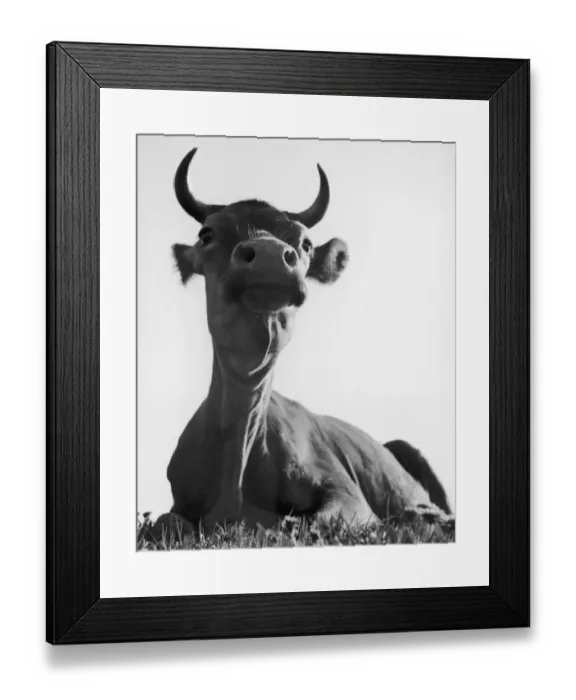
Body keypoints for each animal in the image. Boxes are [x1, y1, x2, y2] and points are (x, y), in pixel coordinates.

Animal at [165, 148, 453, 533]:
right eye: (206, 234)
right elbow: (166, 522)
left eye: (305, 243)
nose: (269, 254)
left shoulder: (348, 494)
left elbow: (307, 522)